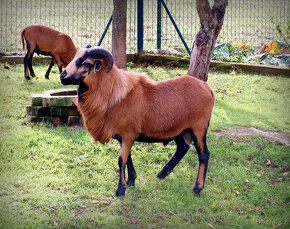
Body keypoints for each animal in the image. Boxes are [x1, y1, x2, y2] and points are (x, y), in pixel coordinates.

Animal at [60, 45, 215, 198]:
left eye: (86, 63)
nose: (62, 76)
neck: (114, 94)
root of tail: (208, 88)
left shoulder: (128, 135)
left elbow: (121, 160)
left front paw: (120, 191)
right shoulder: (123, 136)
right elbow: (128, 158)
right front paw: (131, 181)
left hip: (198, 129)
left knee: (204, 155)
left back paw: (197, 189)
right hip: (179, 129)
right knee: (182, 148)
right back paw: (161, 174)